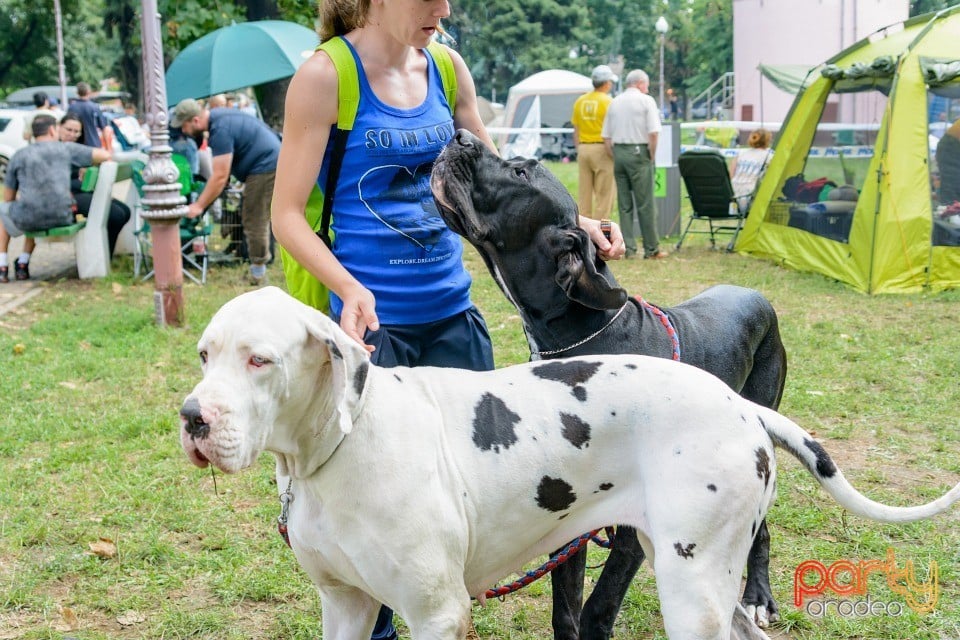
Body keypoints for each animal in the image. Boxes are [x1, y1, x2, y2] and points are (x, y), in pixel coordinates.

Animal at [180, 288, 960, 640]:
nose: (192, 417)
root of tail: (739, 405)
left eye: (260, 360)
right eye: (204, 354)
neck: (333, 451)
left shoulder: (435, 613)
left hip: (690, 588)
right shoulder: (345, 605)